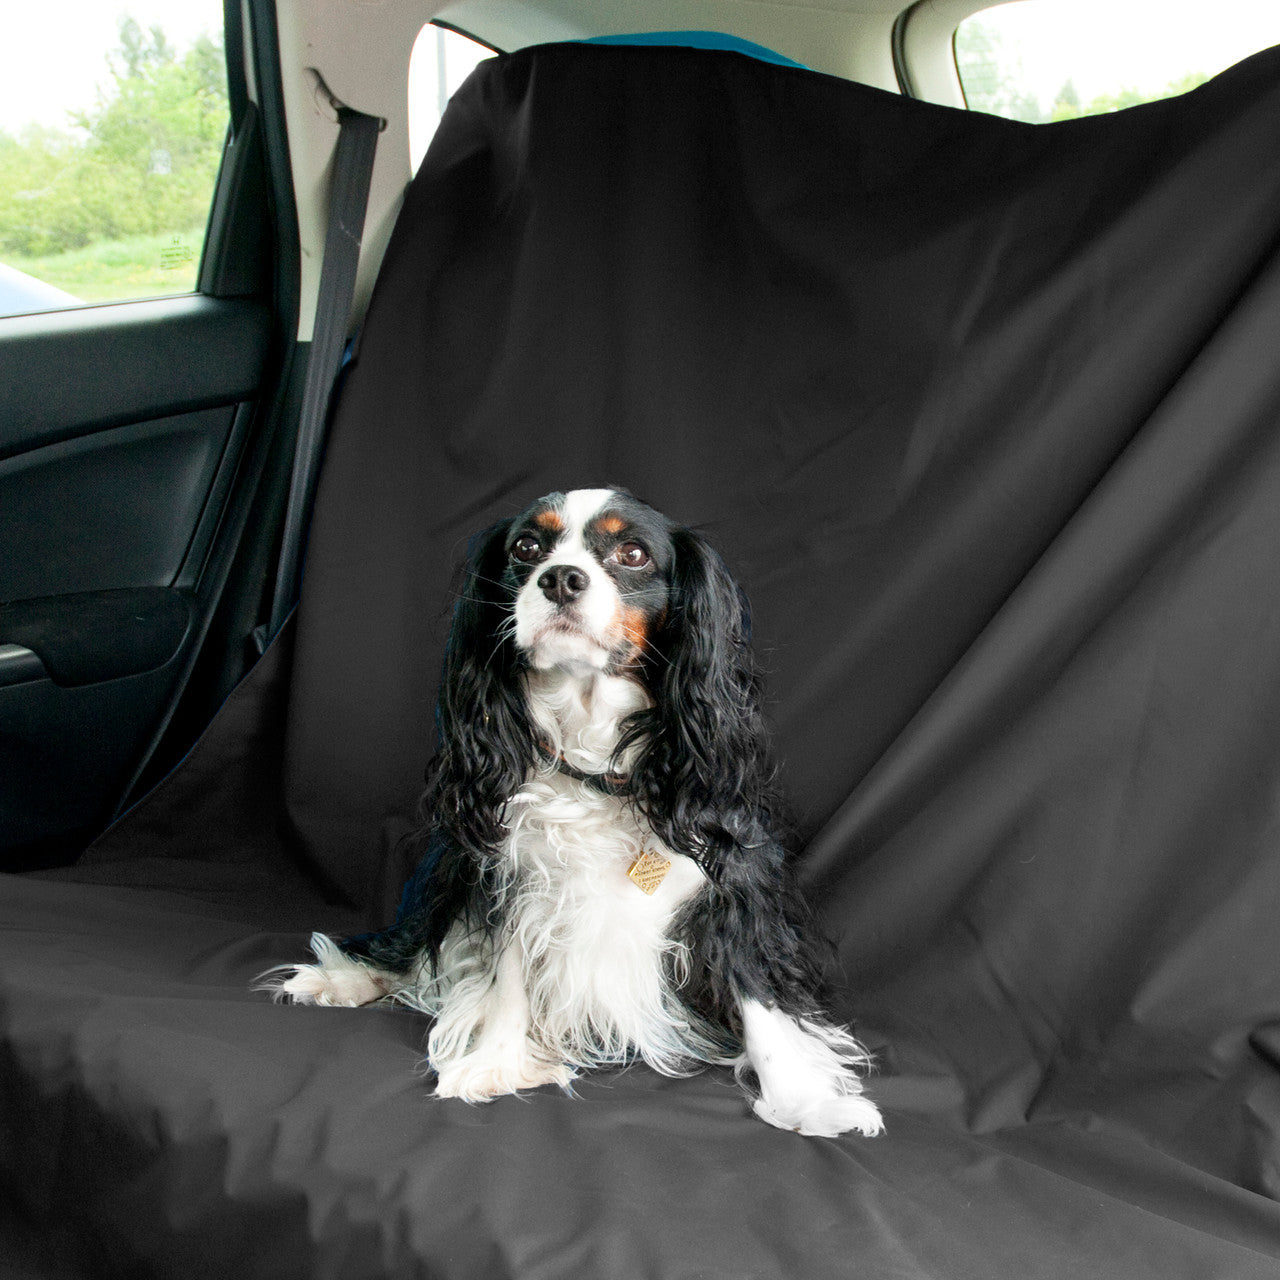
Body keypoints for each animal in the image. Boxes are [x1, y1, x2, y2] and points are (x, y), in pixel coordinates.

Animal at [259, 488, 880, 1141]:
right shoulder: (507, 875)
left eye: (633, 553)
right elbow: (506, 972)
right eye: (527, 547)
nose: (560, 577)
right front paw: (495, 1061)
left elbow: (757, 992)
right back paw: (345, 978)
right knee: (418, 947)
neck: (594, 761)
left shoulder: (735, 878)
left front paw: (805, 1099)